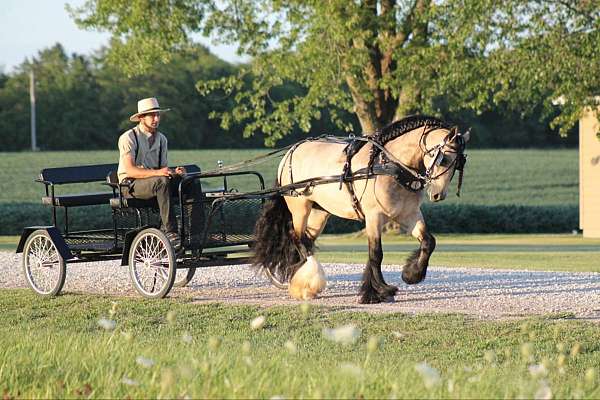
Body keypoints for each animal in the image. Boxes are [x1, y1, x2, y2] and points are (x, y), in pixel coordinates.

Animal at [252, 115, 468, 304]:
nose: (438, 195)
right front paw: (381, 291)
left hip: (319, 212)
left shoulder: (409, 214)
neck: (388, 166)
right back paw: (308, 282)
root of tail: (291, 152)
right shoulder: (374, 216)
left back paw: (300, 278)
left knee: (305, 240)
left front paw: (411, 275)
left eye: (460, 164)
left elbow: (428, 242)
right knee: (297, 237)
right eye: (444, 159)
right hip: (300, 208)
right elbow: (376, 253)